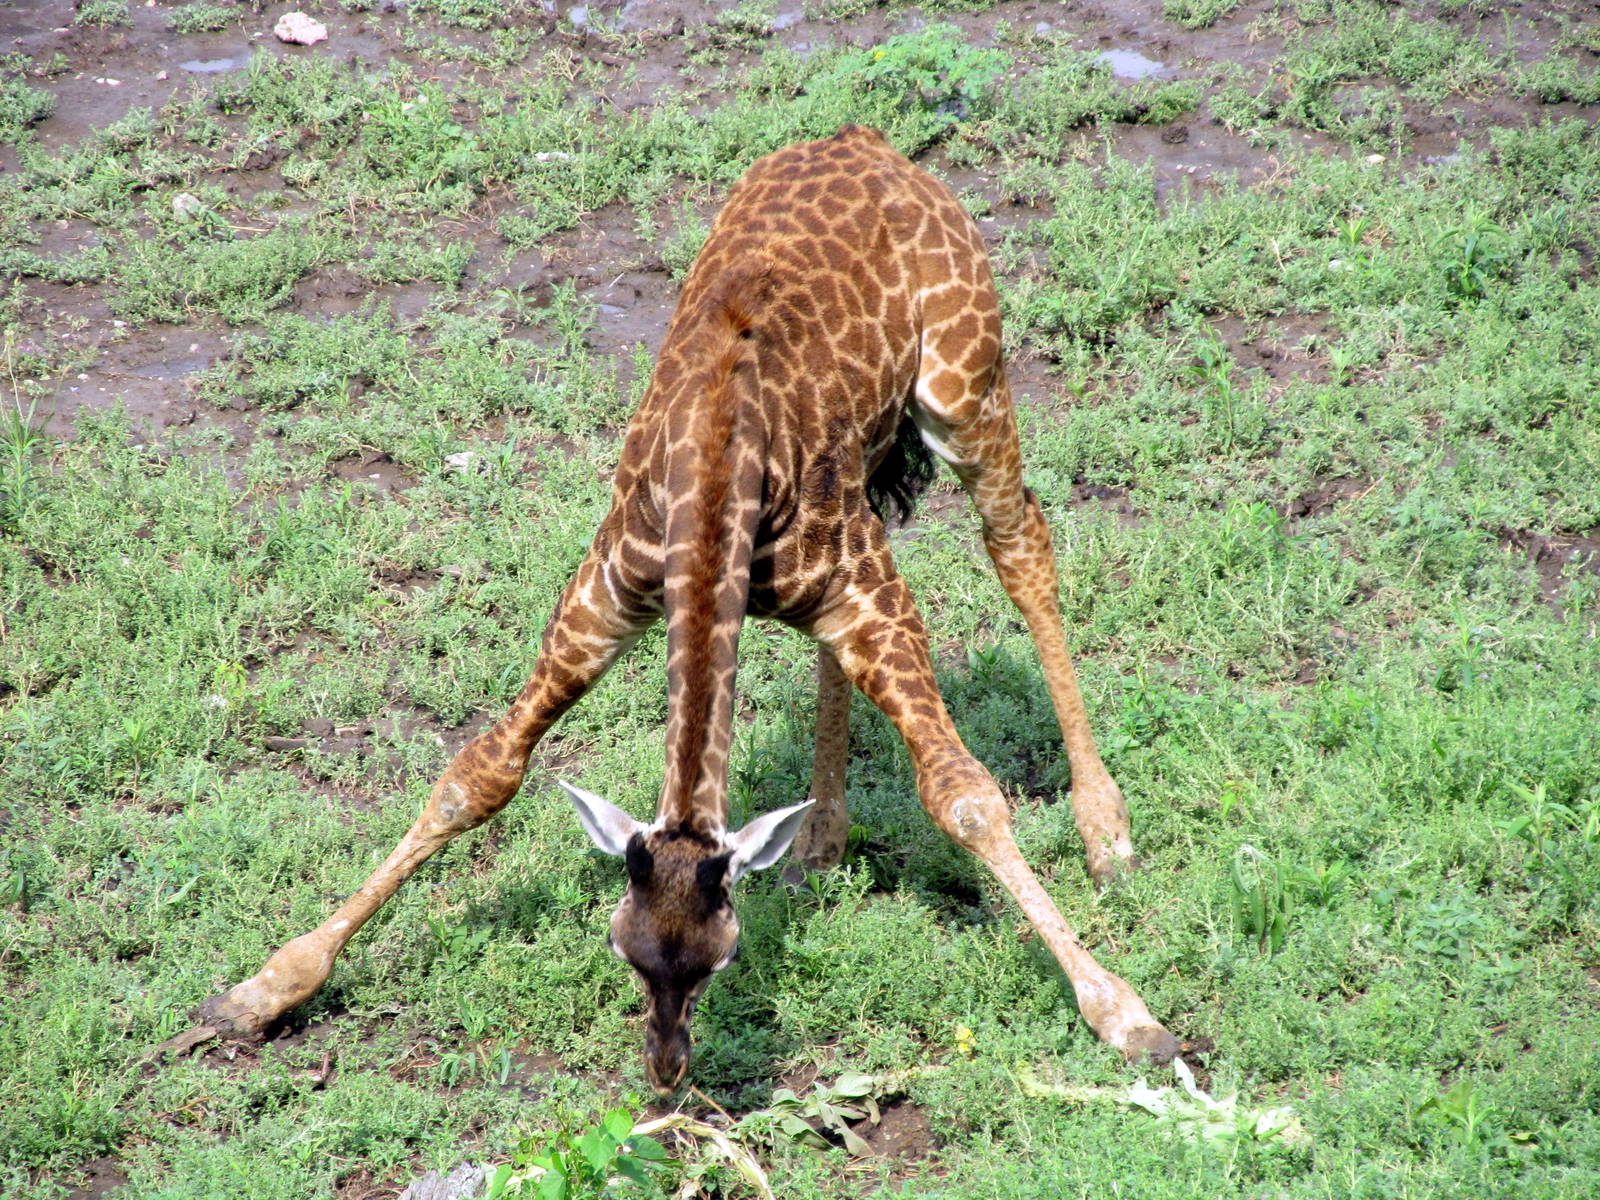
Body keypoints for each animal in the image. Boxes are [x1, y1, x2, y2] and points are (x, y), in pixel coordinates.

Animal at [175, 126, 1179, 1092]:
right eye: (624, 950)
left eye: (722, 960)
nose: (666, 1074)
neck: (717, 470)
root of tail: (871, 141)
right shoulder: (609, 591)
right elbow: (478, 773)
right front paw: (261, 989)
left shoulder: (870, 594)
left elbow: (965, 797)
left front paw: (1127, 1015)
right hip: (867, 474)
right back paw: (820, 841)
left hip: (967, 387)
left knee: (1022, 544)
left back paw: (1107, 833)